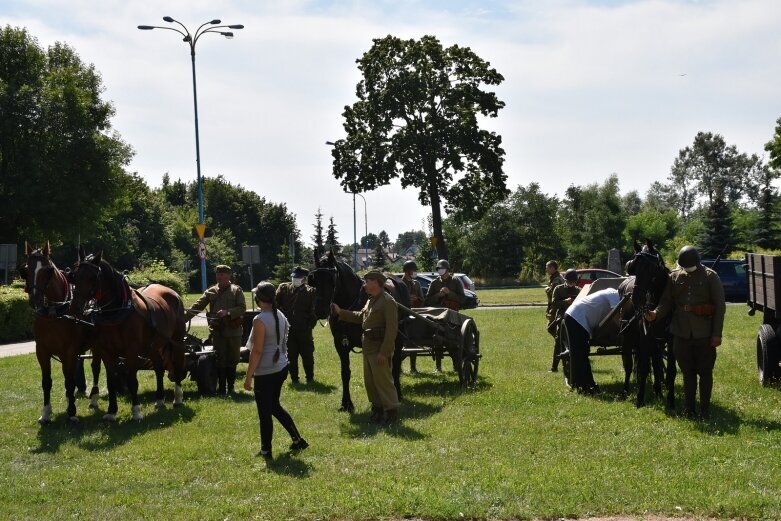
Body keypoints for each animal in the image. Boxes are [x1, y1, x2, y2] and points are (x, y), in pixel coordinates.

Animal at [22, 242, 101, 424]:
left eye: (48, 270)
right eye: (26, 270)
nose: (35, 299)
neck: (54, 312)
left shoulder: (70, 351)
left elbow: (70, 381)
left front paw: (72, 412)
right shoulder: (42, 351)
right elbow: (47, 382)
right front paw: (46, 412)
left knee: (95, 368)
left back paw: (93, 398)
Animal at [68, 246, 187, 420]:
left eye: (93, 277)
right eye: (74, 276)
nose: (75, 307)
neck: (117, 310)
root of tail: (172, 292)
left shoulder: (131, 351)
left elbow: (132, 381)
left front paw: (136, 411)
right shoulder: (107, 351)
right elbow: (111, 381)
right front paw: (111, 411)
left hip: (176, 340)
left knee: (177, 364)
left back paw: (177, 398)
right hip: (153, 345)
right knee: (158, 367)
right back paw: (159, 400)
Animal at [308, 250, 412, 412]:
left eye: (332, 279)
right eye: (314, 279)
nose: (320, 310)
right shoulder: (340, 344)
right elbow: (345, 372)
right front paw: (346, 403)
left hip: (397, 337)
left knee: (395, 363)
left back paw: (398, 393)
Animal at [620, 239, 672, 406]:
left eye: (651, 268)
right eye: (633, 268)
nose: (636, 298)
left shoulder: (667, 340)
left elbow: (665, 369)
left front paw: (666, 397)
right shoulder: (645, 338)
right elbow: (642, 368)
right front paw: (640, 399)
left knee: (656, 363)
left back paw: (658, 391)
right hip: (628, 337)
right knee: (629, 365)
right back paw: (625, 390)